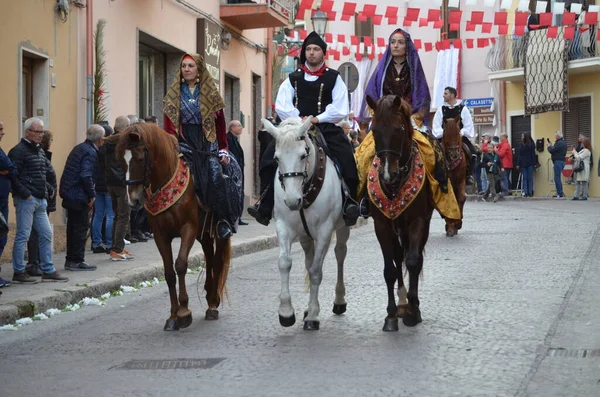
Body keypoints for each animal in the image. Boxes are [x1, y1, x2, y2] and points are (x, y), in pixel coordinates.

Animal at [106, 122, 231, 330]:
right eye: (120, 160)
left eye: (140, 158)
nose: (133, 200)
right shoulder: (160, 234)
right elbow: (169, 273)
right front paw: (173, 316)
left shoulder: (188, 228)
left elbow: (180, 264)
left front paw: (184, 311)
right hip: (203, 232)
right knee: (209, 254)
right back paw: (209, 296)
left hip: (216, 229)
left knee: (217, 259)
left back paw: (213, 304)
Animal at [262, 116, 352, 330]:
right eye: (276, 158)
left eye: (303, 155)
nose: (292, 201)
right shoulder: (284, 227)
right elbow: (285, 263)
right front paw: (286, 312)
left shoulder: (324, 230)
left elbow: (316, 272)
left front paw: (312, 316)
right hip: (305, 235)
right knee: (309, 260)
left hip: (342, 227)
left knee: (339, 254)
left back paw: (338, 301)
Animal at [364, 94, 434, 330]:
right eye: (374, 130)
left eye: (398, 130)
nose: (388, 174)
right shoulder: (381, 226)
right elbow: (390, 269)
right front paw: (391, 315)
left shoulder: (418, 221)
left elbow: (412, 262)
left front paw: (414, 311)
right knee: (396, 257)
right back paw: (402, 303)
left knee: (414, 259)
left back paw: (411, 304)